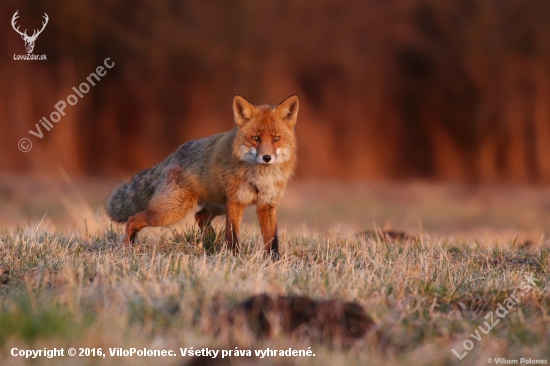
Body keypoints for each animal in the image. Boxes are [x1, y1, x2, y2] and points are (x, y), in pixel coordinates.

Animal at [105, 94, 300, 260]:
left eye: (276, 138)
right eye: (255, 138)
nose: (266, 158)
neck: (261, 179)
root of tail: (174, 154)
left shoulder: (267, 205)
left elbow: (272, 240)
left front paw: (274, 262)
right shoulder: (235, 202)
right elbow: (233, 235)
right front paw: (234, 258)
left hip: (217, 206)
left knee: (200, 216)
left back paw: (209, 241)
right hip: (170, 212)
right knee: (132, 220)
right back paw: (127, 248)